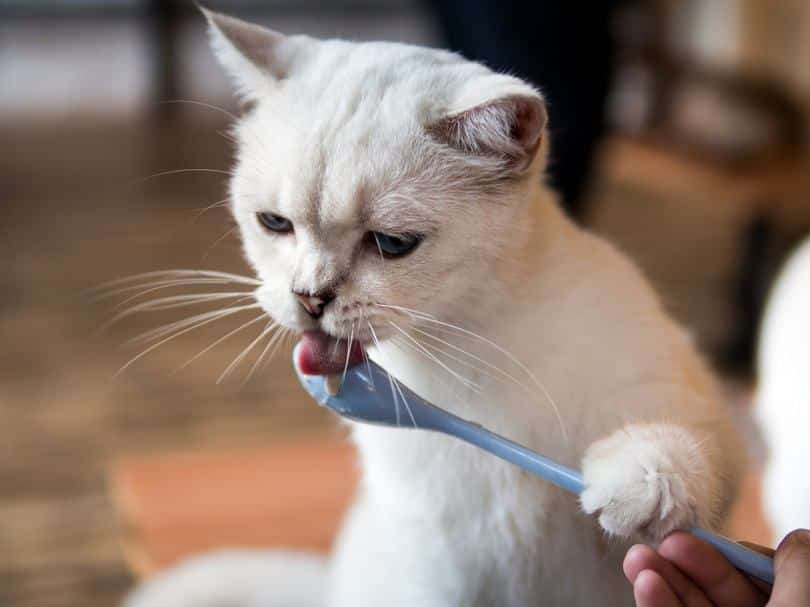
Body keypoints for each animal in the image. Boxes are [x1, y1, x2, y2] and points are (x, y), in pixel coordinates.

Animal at [124, 10, 740, 607]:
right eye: (274, 224)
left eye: (392, 243)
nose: (310, 297)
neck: (467, 343)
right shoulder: (435, 561)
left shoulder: (684, 400)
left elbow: (689, 451)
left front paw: (640, 484)